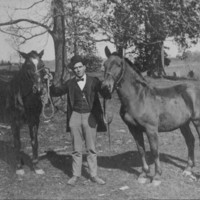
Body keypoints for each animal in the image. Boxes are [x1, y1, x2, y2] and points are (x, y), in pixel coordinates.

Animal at [101, 46, 200, 186]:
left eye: (119, 65)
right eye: (104, 64)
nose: (105, 87)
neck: (138, 98)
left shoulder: (151, 129)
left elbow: (154, 151)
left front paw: (157, 177)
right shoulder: (134, 129)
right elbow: (141, 150)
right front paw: (143, 175)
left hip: (197, 122)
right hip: (184, 124)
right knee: (190, 141)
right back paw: (187, 170)